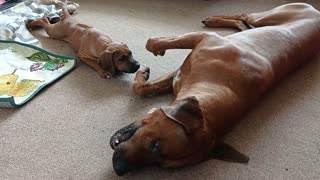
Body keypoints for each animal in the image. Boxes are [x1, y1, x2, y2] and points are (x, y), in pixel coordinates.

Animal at [109, 2, 320, 176]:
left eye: (159, 160)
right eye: (156, 144)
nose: (119, 169)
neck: (212, 87)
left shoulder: (182, 76)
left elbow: (142, 88)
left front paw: (143, 74)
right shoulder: (201, 45)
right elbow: (153, 45)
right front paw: (150, 59)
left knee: (244, 22)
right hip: (265, 17)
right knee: (244, 17)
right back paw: (213, 19)